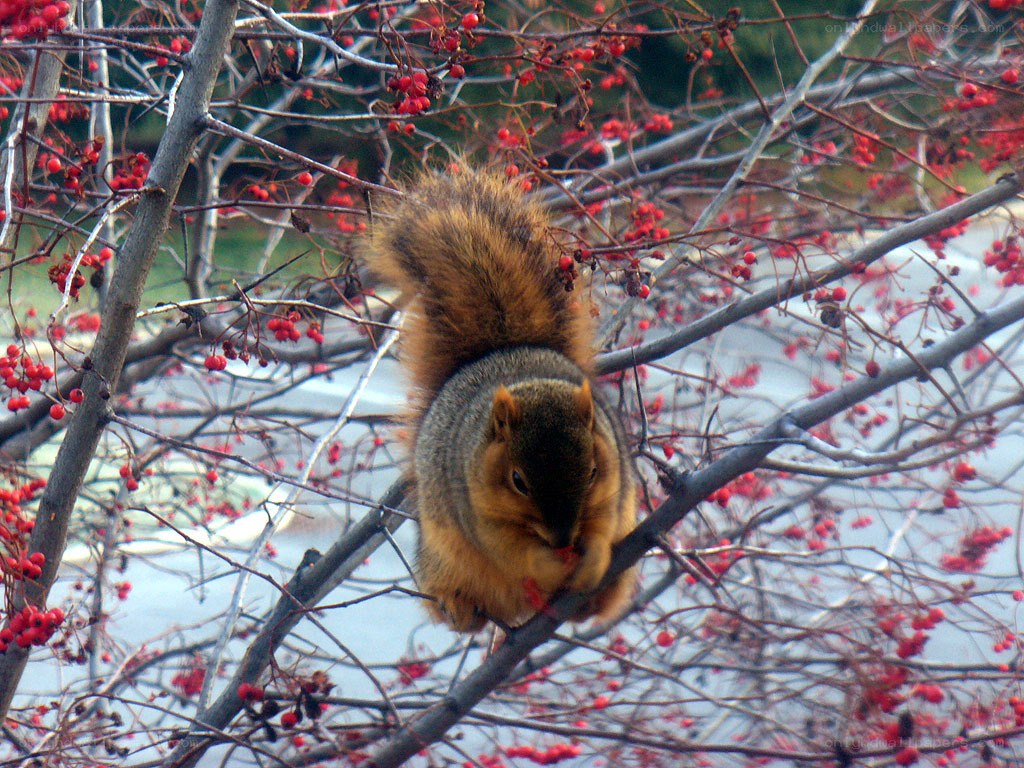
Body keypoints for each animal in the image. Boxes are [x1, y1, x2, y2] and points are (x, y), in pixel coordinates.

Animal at [368, 168, 637, 632]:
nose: (563, 539)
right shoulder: (476, 511)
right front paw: (545, 562)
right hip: (443, 563)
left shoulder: (614, 485)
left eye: (592, 472)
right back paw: (463, 607)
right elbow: (512, 551)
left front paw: (592, 556)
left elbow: (603, 528)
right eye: (518, 481)